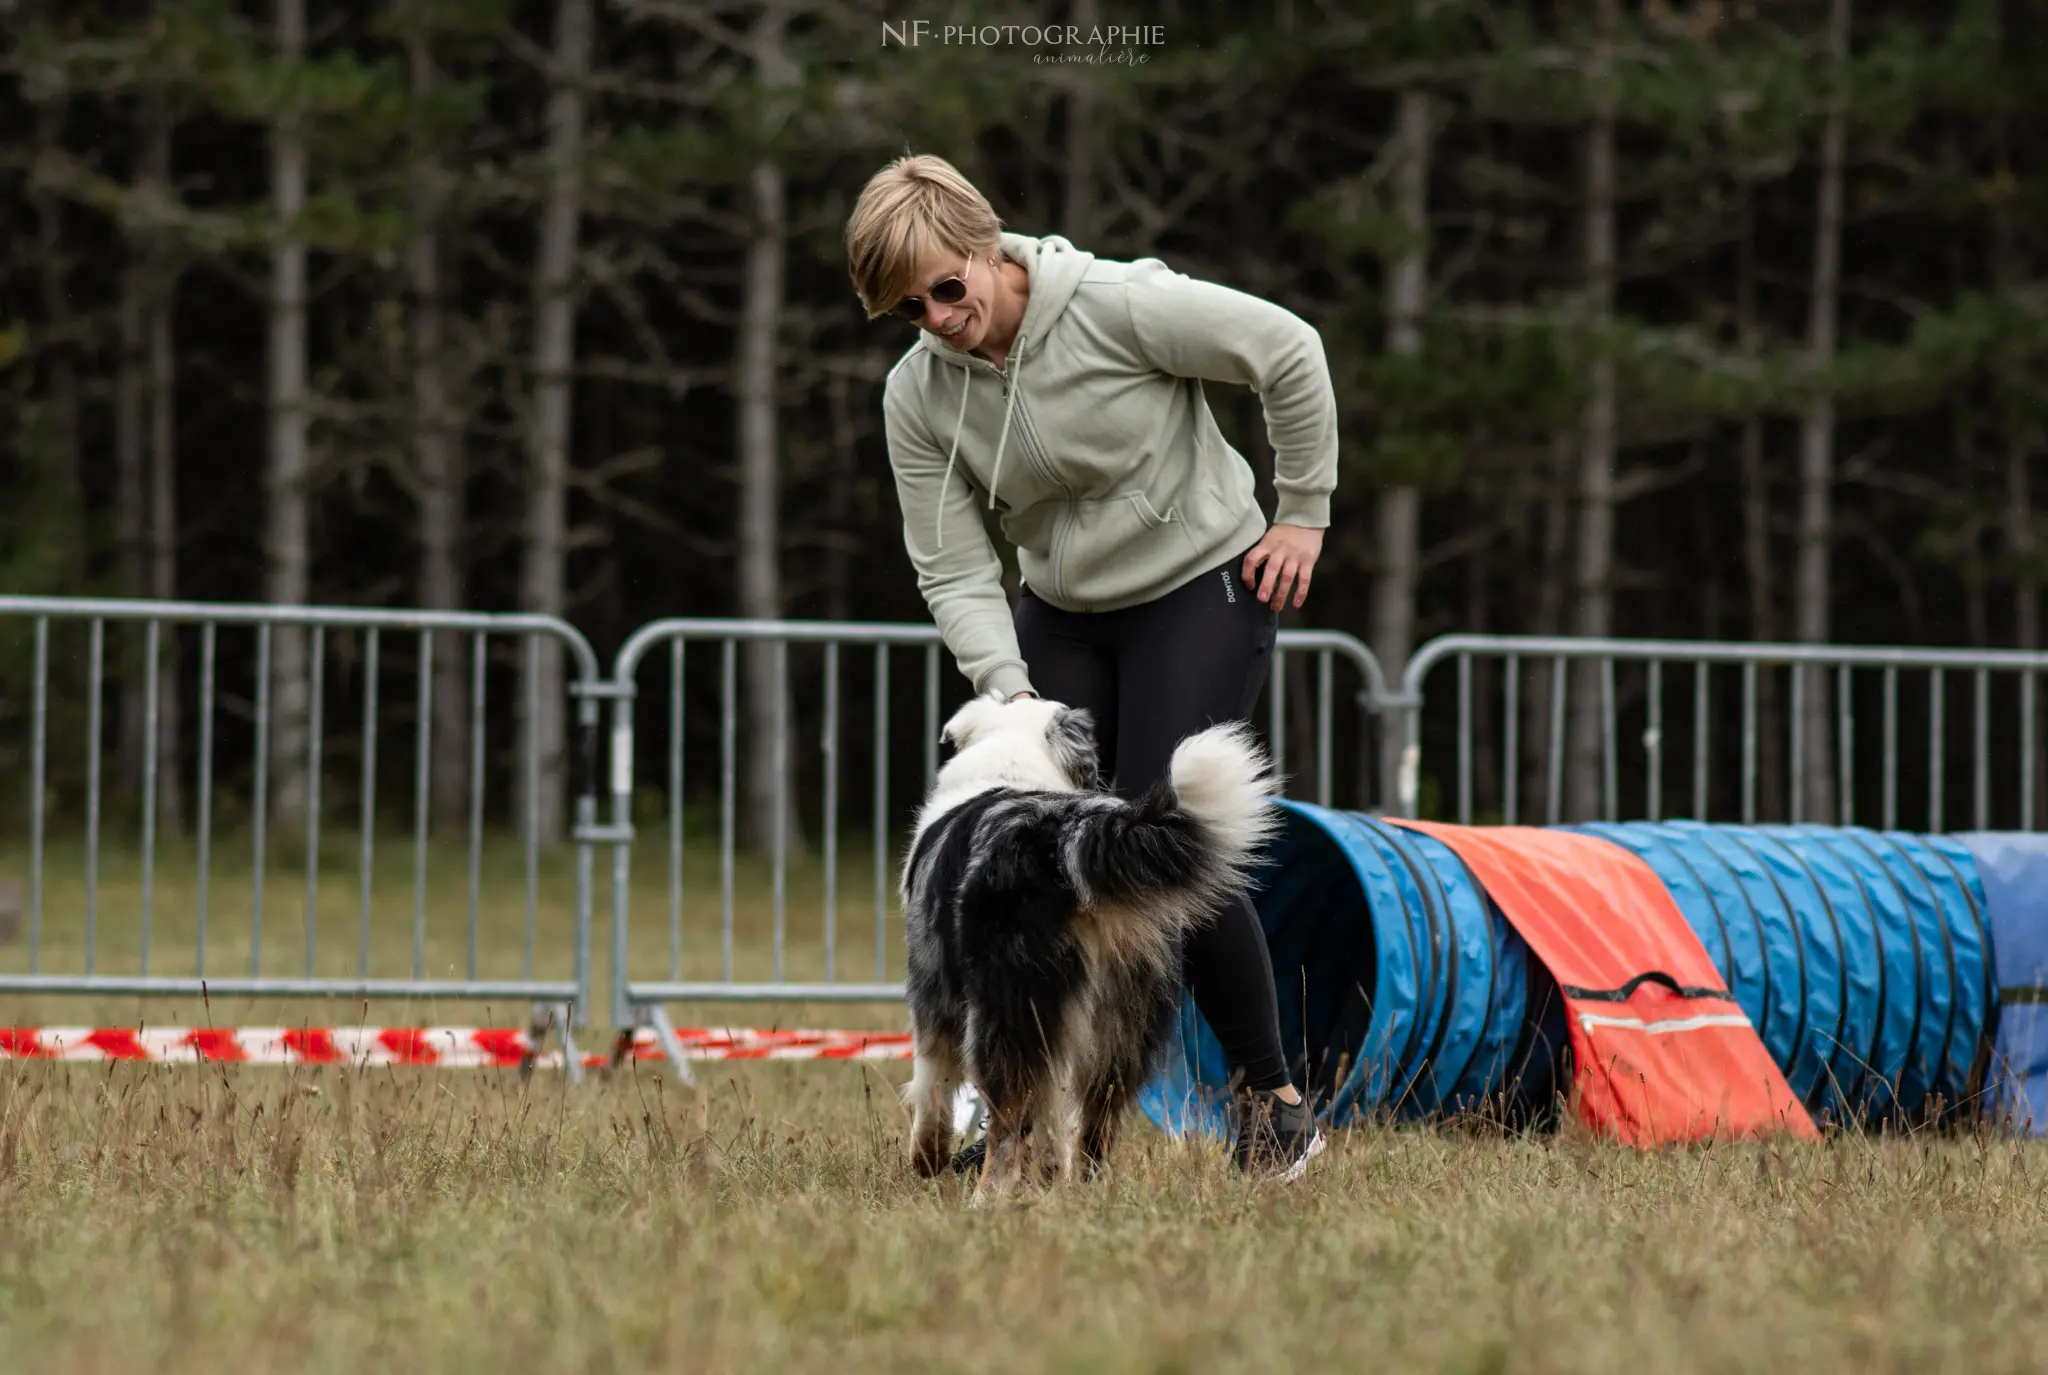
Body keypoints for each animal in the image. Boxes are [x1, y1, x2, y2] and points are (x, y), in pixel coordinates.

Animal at [901, 692, 1277, 1196]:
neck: (1013, 756)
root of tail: (1064, 838)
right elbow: (1052, 1120)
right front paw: (1043, 1176)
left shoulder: (931, 988)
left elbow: (931, 1084)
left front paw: (926, 1158)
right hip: (1122, 1020)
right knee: (1093, 1124)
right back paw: (1084, 1192)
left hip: (1011, 1010)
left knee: (1008, 1115)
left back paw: (987, 1197)